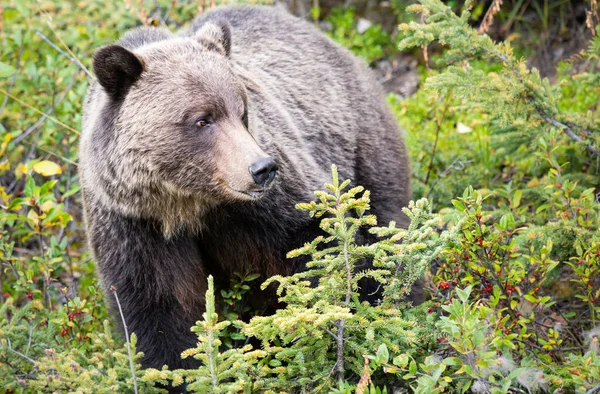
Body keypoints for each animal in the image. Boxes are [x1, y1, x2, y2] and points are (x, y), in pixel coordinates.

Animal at [78, 3, 412, 378]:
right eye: (202, 119)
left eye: (242, 112)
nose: (262, 169)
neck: (189, 204)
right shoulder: (133, 224)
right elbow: (159, 307)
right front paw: (180, 370)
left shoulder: (268, 208)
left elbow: (317, 244)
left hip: (363, 145)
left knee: (384, 221)